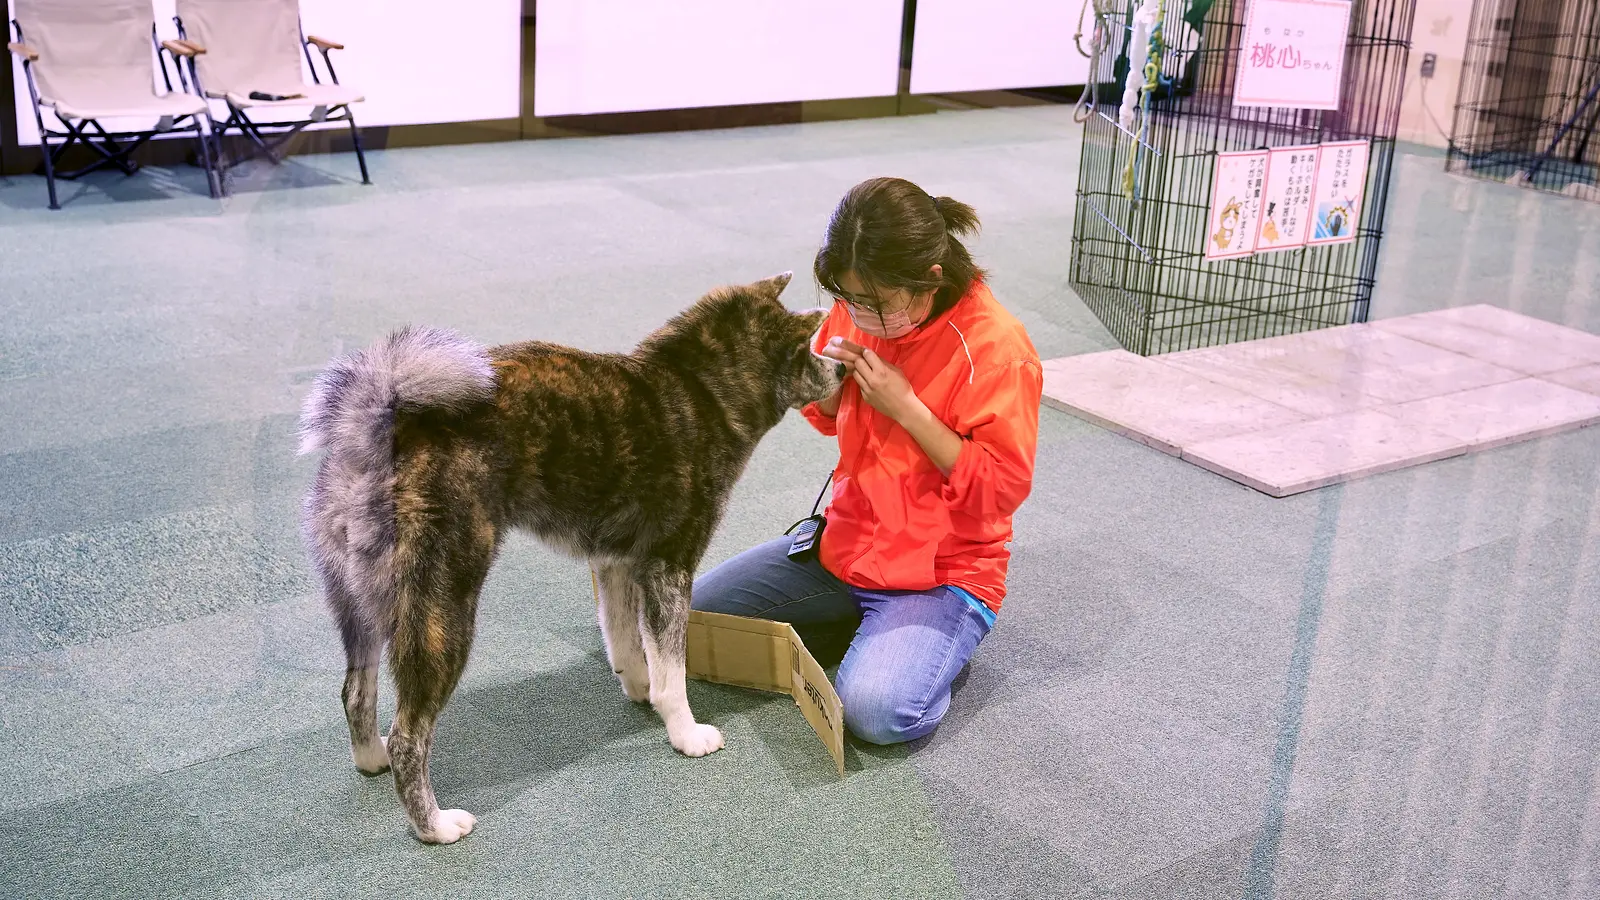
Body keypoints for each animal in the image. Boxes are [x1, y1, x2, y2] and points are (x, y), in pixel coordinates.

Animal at [296, 272, 844, 839]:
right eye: (808, 348)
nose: (845, 368)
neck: (703, 392)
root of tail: (379, 426)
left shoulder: (617, 564)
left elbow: (626, 642)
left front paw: (639, 688)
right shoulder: (668, 567)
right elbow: (672, 670)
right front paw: (686, 733)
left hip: (361, 610)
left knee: (355, 694)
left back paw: (372, 758)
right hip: (442, 612)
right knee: (411, 736)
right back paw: (436, 825)